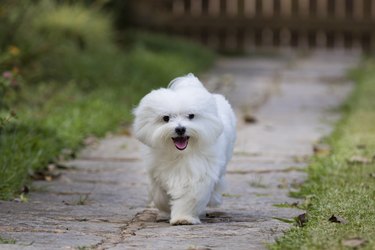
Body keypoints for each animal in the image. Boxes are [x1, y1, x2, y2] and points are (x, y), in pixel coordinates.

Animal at [134, 73, 236, 226]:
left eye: (191, 116)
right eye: (166, 118)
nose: (180, 129)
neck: (179, 154)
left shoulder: (198, 174)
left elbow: (190, 197)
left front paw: (183, 218)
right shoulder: (155, 173)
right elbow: (160, 196)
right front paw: (166, 210)